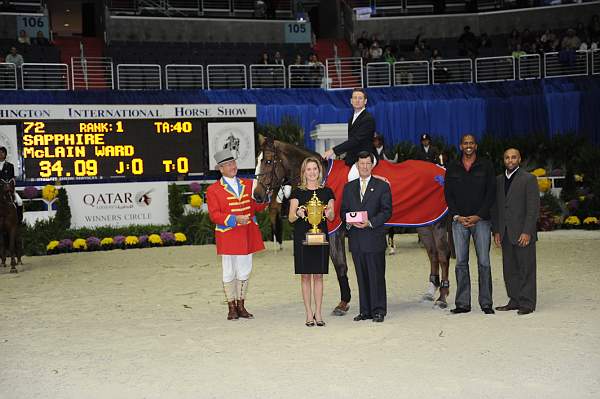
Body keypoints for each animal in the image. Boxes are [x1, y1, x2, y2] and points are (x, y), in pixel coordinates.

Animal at [252, 138, 450, 316]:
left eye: (267, 161)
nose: (257, 195)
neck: (322, 177)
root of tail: (442, 172)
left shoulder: (334, 232)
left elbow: (340, 265)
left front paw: (343, 303)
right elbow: (340, 266)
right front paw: (343, 302)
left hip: (438, 224)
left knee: (442, 255)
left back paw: (442, 298)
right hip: (424, 224)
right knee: (432, 254)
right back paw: (430, 293)